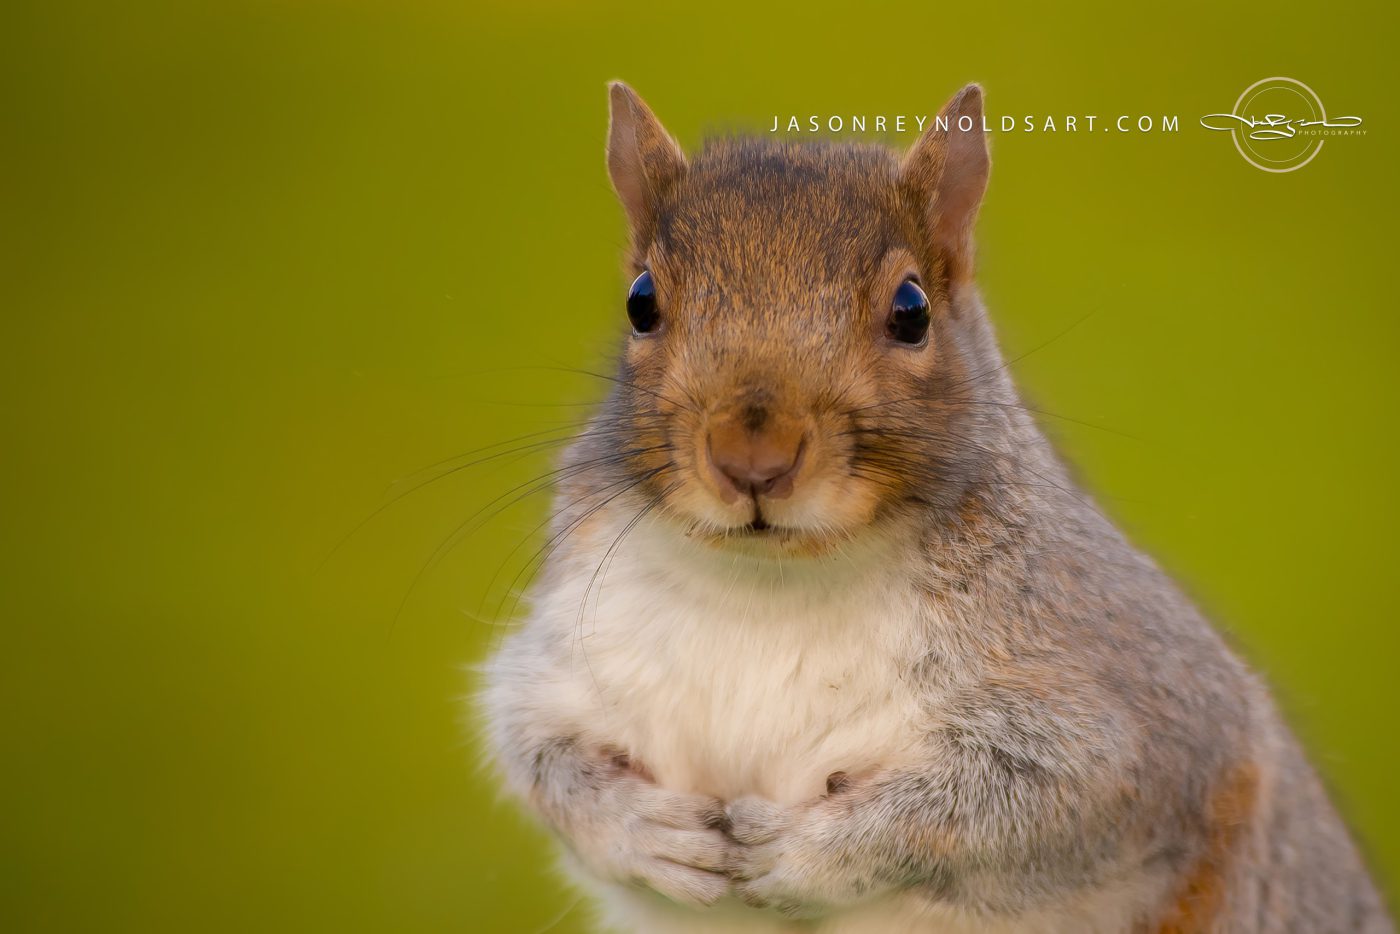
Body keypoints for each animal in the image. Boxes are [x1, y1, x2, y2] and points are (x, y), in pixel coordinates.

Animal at [479, 82, 1392, 933]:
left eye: (911, 311)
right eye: (641, 302)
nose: (753, 459)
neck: (772, 586)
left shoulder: (1138, 715)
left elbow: (1001, 810)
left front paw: (809, 854)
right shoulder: (559, 666)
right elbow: (534, 753)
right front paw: (644, 834)